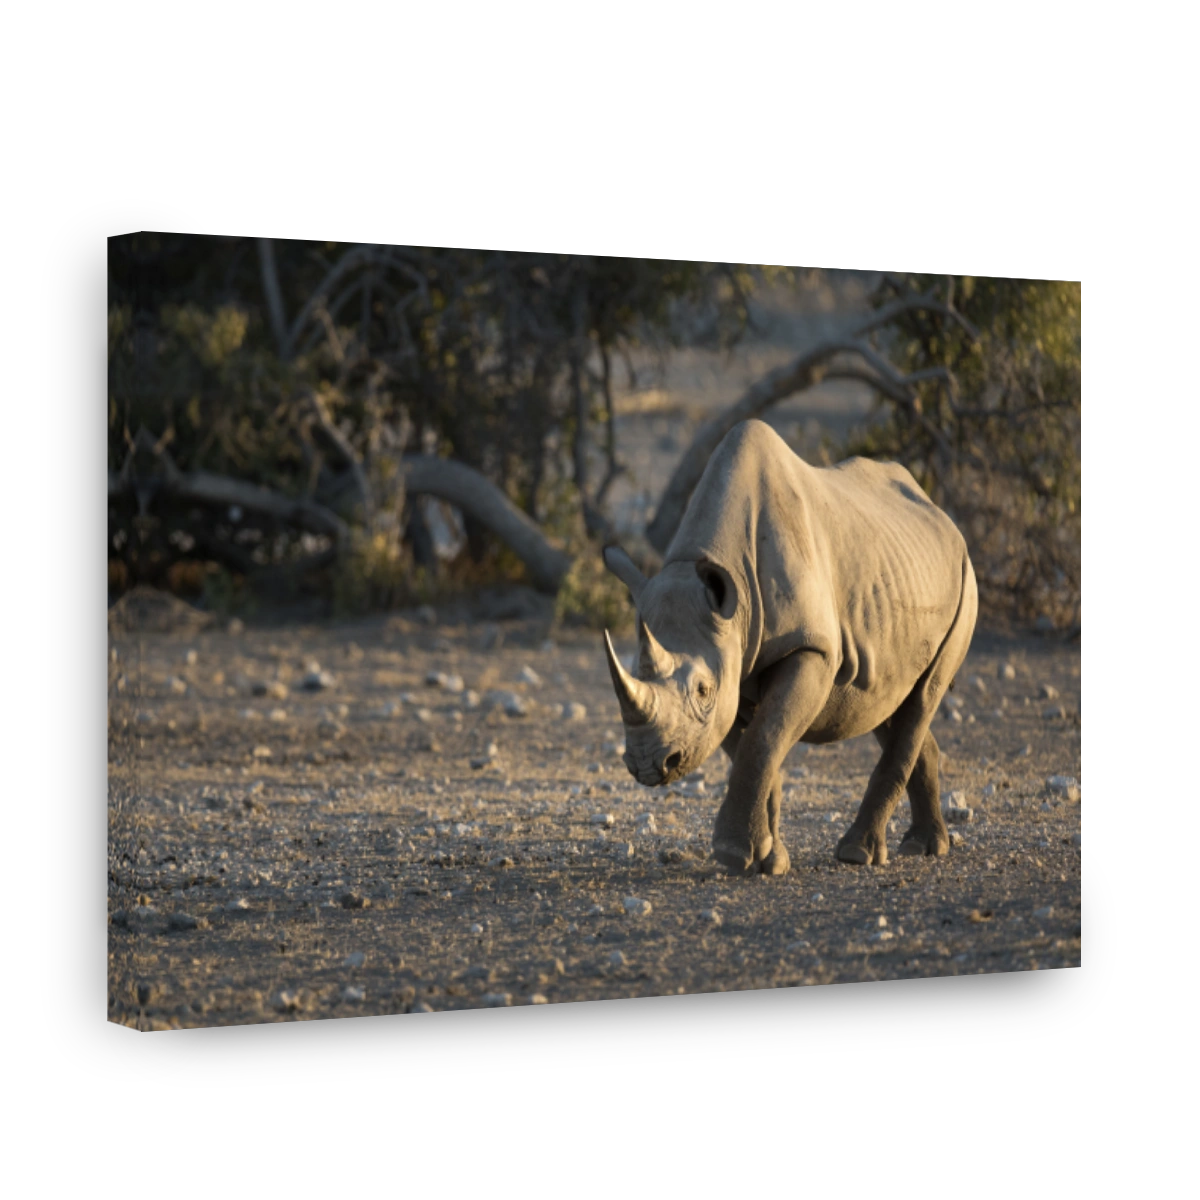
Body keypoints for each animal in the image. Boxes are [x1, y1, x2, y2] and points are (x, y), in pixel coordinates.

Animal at [602, 418, 978, 874]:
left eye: (703, 690)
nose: (647, 765)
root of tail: (941, 514)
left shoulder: (809, 649)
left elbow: (762, 740)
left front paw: (732, 854)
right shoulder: (732, 661)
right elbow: (750, 749)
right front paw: (768, 858)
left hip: (966, 578)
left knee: (923, 696)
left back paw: (859, 854)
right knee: (888, 699)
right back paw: (923, 845)